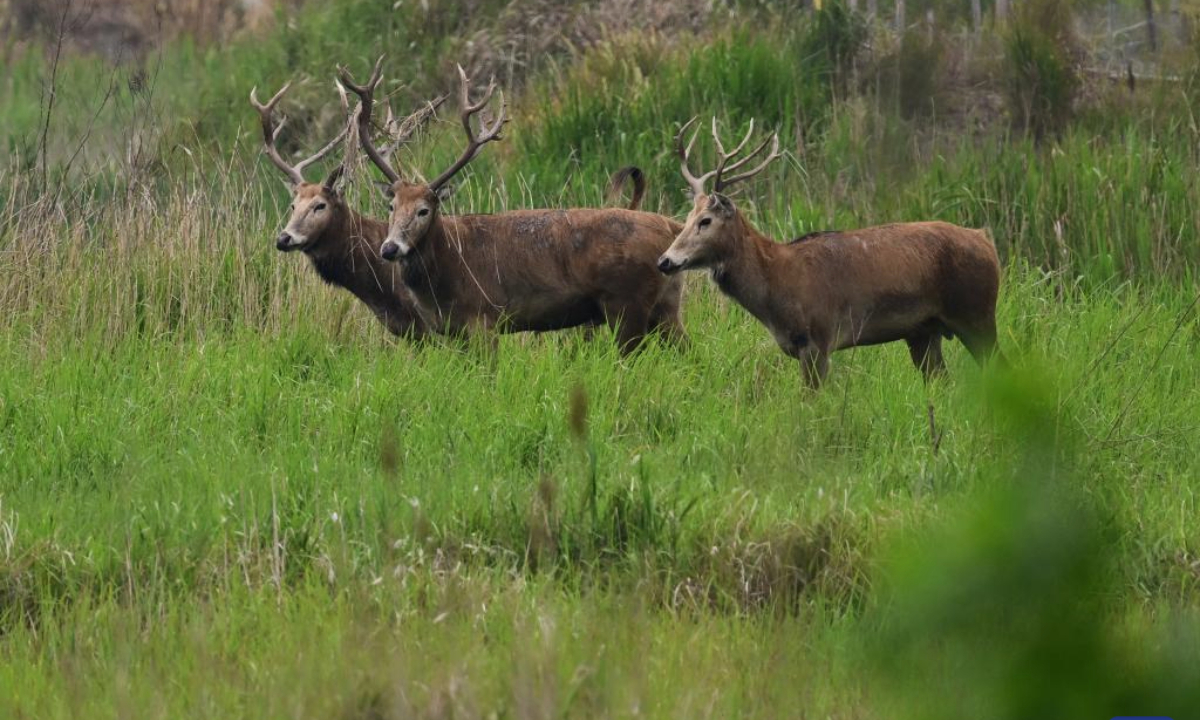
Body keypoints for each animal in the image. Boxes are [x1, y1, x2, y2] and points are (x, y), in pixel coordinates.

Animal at [337, 57, 686, 353]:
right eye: (391, 207)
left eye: (425, 210)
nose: (390, 248)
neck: (445, 278)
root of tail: (673, 226)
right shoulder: (455, 331)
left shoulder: (483, 318)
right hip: (666, 303)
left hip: (626, 303)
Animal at [657, 118, 1003, 388]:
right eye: (685, 218)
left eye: (705, 221)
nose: (665, 261)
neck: (777, 288)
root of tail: (987, 242)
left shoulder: (819, 338)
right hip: (924, 331)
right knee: (942, 381)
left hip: (977, 312)